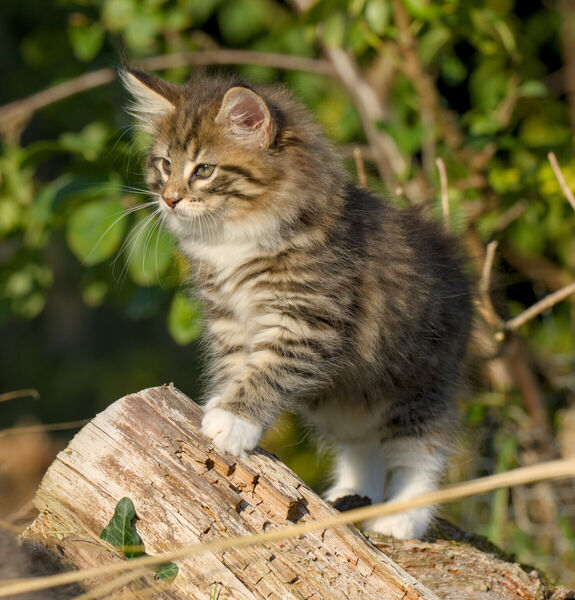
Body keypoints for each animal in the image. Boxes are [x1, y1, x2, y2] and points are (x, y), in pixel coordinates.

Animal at [120, 67, 472, 540]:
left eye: (204, 170)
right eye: (165, 165)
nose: (169, 199)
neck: (234, 236)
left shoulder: (309, 320)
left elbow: (267, 369)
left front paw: (233, 421)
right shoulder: (229, 319)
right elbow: (237, 366)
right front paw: (221, 405)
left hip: (418, 380)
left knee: (421, 450)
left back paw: (403, 516)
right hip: (348, 397)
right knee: (364, 446)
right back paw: (352, 495)